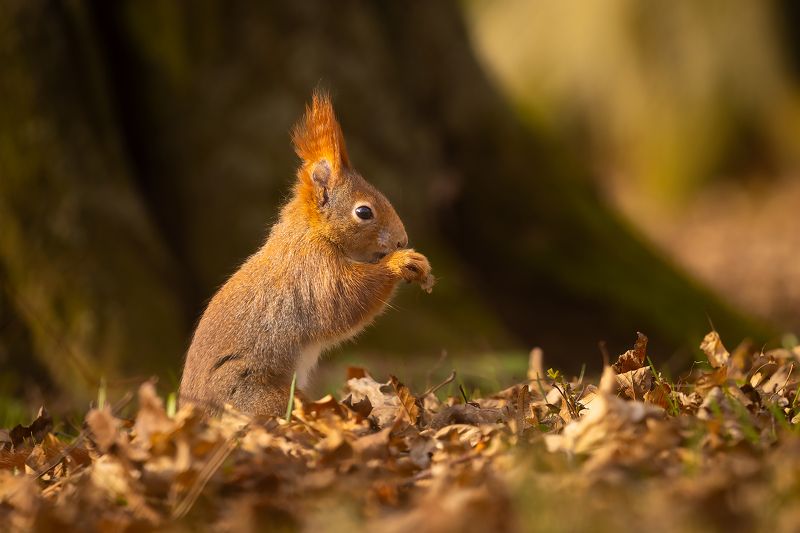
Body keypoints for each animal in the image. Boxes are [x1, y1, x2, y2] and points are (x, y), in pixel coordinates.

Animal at [179, 90, 434, 418]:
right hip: (251, 394)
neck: (312, 232)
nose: (402, 241)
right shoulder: (313, 272)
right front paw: (402, 263)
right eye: (364, 212)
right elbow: (346, 300)